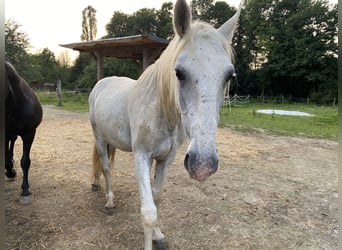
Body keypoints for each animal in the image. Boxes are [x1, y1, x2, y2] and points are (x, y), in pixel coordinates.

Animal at [89, 0, 242, 249]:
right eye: (179, 73)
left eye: (229, 75)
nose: (203, 165)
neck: (160, 110)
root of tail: (102, 83)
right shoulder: (141, 156)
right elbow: (148, 211)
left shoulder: (165, 158)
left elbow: (157, 197)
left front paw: (159, 235)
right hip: (100, 139)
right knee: (105, 167)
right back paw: (109, 201)